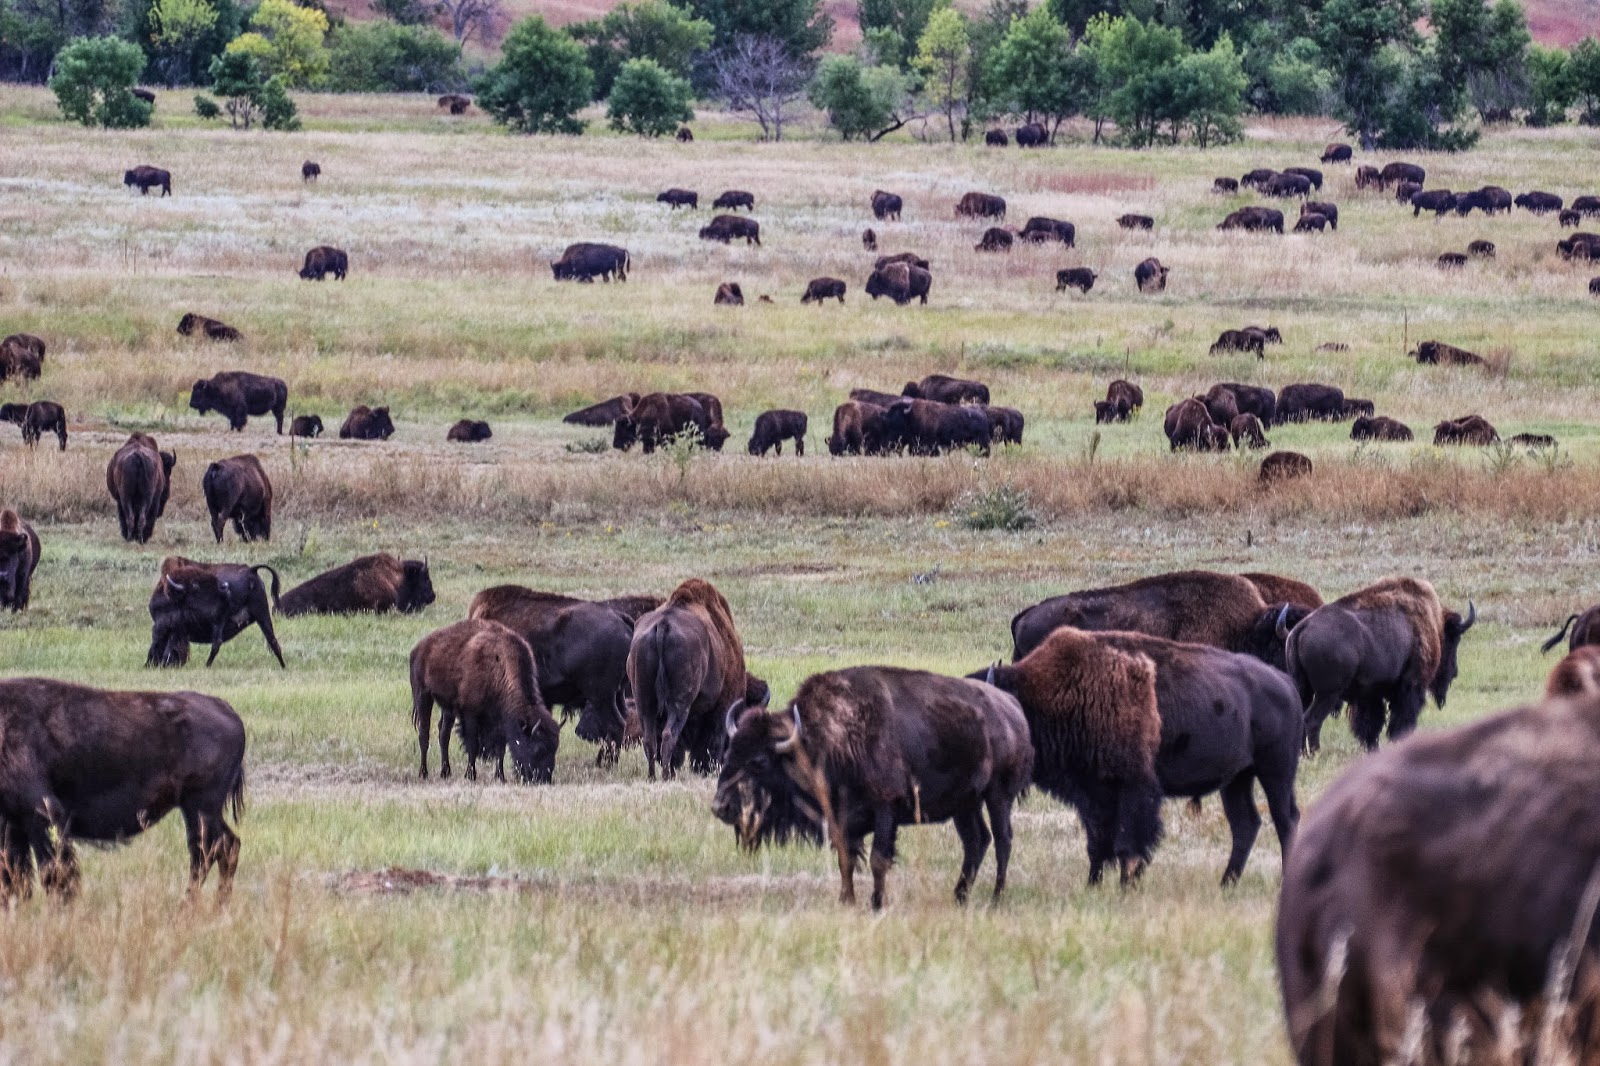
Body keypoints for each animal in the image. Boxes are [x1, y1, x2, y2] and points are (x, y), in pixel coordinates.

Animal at [0, 678, 245, 902]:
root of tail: (225, 708)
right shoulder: (13, 824)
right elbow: (15, 876)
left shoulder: (41, 816)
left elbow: (52, 872)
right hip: (203, 810)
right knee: (225, 846)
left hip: (199, 807)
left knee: (206, 852)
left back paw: (189, 905)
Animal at [147, 557, 285, 669]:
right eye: (195, 586)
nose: (225, 589)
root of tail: (251, 570)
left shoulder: (166, 626)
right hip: (261, 614)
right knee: (272, 640)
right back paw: (283, 666)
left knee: (216, 643)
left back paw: (206, 666)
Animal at [410, 619, 560, 783]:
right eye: (539, 749)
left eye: (555, 748)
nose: (544, 779)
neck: (500, 665)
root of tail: (418, 648)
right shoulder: (470, 713)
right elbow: (472, 744)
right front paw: (470, 775)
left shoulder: (500, 719)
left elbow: (501, 748)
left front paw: (500, 776)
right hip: (423, 695)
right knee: (424, 734)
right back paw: (423, 773)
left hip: (447, 706)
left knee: (444, 734)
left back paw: (445, 772)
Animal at [714, 667, 1031, 909]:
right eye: (729, 753)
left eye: (758, 762)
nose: (720, 806)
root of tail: (1013, 709)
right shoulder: (841, 821)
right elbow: (845, 860)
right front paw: (846, 901)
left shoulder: (886, 809)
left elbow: (879, 859)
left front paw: (876, 903)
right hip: (965, 806)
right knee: (976, 841)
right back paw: (959, 897)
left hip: (998, 796)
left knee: (1003, 840)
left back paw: (996, 898)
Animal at [1284, 576, 1473, 753]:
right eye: (1454, 639)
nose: (1455, 672)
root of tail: (1301, 627)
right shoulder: (1410, 688)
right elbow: (1399, 722)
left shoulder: (1370, 695)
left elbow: (1371, 725)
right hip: (1327, 694)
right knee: (1312, 720)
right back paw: (1314, 753)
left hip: (1304, 689)